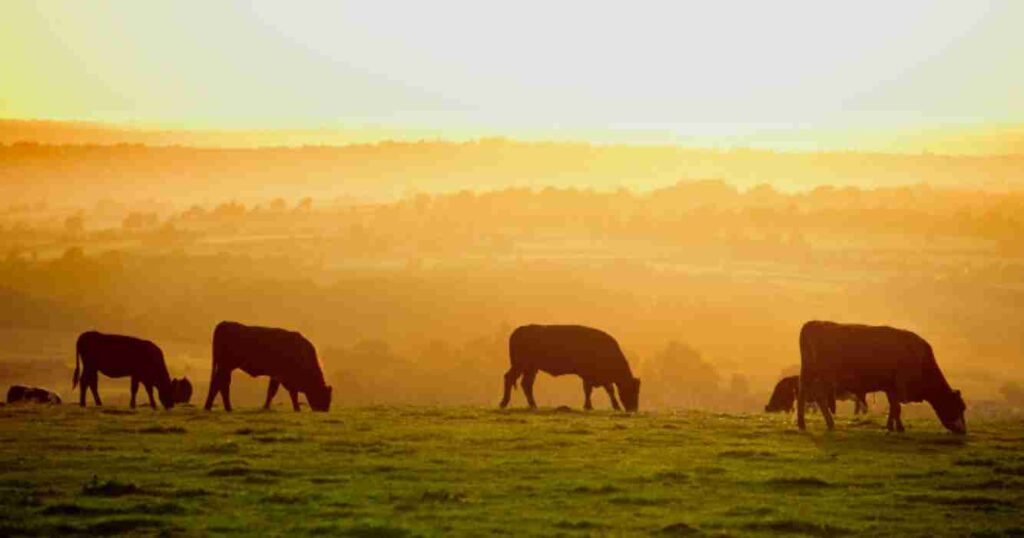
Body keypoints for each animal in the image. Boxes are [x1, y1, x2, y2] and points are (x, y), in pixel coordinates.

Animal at [205, 321, 333, 414]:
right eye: (324, 396)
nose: (324, 410)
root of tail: (225, 323)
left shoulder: (277, 376)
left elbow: (274, 391)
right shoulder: (282, 376)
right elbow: (284, 392)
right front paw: (296, 408)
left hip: (225, 367)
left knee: (220, 384)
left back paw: (213, 407)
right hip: (225, 366)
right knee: (220, 384)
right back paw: (224, 408)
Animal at [497, 323, 638, 411]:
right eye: (631, 390)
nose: (634, 409)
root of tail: (520, 330)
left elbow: (608, 390)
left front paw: (616, 406)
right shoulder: (587, 375)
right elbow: (589, 390)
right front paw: (588, 406)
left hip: (531, 369)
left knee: (526, 384)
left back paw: (533, 406)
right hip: (520, 365)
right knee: (510, 378)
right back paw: (503, 403)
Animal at [794, 321, 962, 434]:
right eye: (959, 407)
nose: (963, 431)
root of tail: (814, 323)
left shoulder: (891, 387)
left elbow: (894, 406)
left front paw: (893, 426)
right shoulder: (899, 385)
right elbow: (896, 407)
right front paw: (898, 428)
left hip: (808, 373)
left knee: (803, 394)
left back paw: (802, 423)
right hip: (825, 377)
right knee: (819, 397)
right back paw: (829, 423)